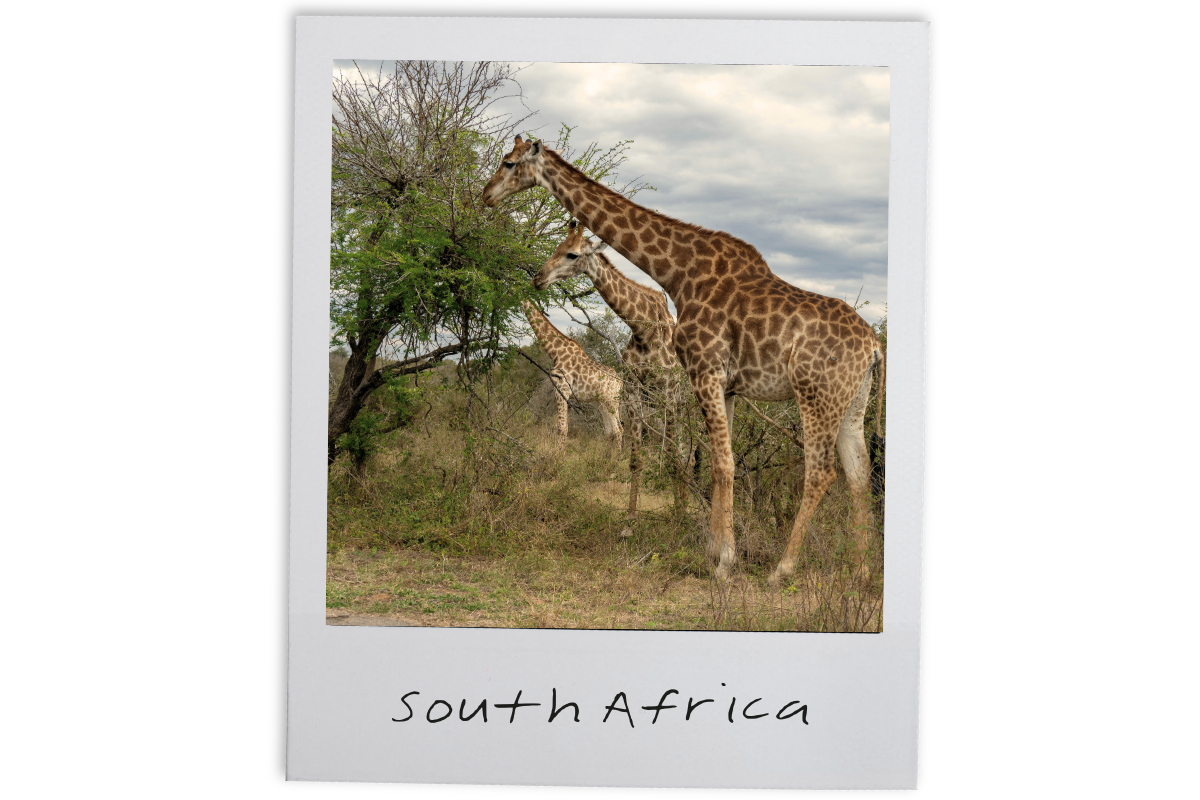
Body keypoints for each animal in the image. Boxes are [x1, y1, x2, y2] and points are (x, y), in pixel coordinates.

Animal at [520, 299, 623, 449]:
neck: (556, 352)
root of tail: (620, 382)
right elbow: (562, 427)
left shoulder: (562, 389)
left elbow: (562, 428)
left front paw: (557, 455)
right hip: (601, 402)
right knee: (610, 432)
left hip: (610, 400)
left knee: (618, 430)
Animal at [534, 220, 692, 518]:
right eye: (556, 247)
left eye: (572, 254)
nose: (538, 278)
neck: (643, 329)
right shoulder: (632, 392)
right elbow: (636, 459)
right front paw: (630, 516)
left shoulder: (666, 391)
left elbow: (672, 456)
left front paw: (681, 516)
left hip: (683, 401)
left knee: (686, 451)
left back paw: (687, 507)